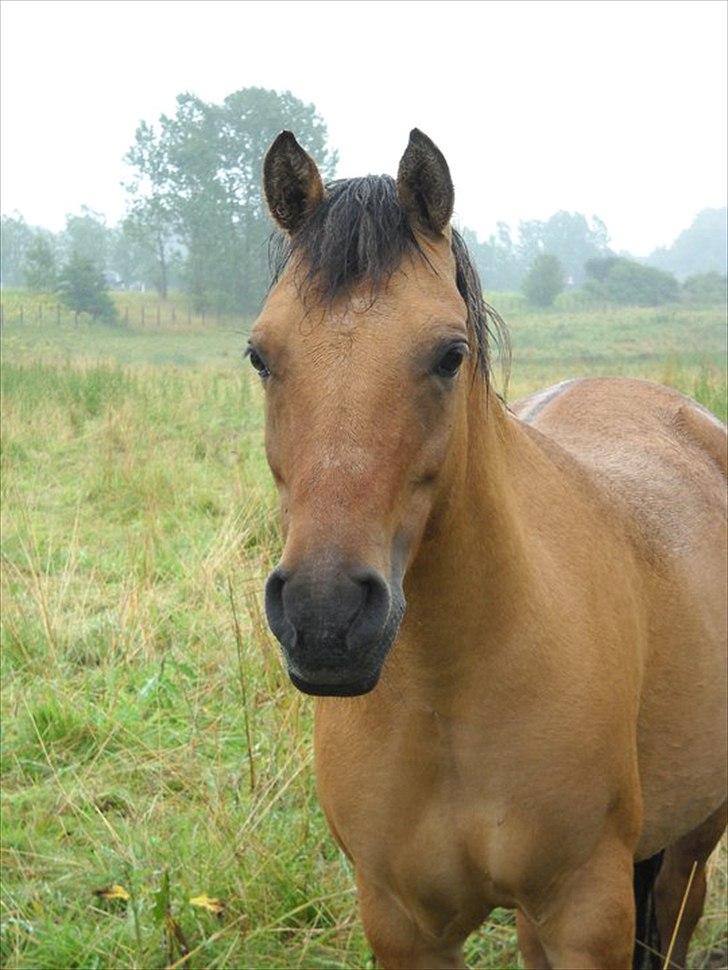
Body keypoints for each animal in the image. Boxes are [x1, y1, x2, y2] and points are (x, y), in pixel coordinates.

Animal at [249, 128, 727, 969]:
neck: (450, 691)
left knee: (677, 905)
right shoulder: (405, 925)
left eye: (449, 354)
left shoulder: (583, 914)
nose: (326, 617)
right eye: (261, 356)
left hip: (695, 832)